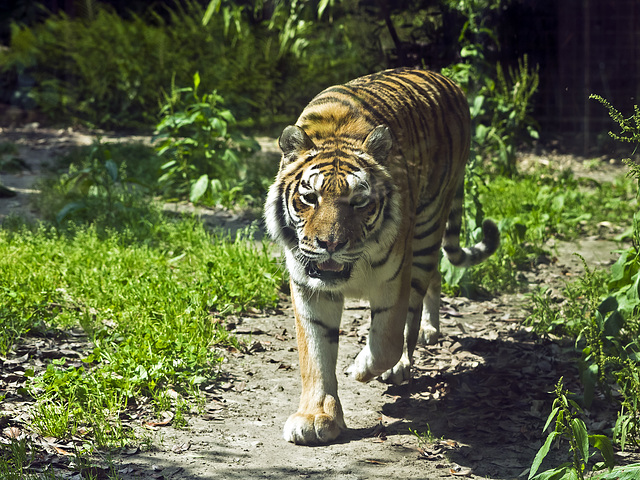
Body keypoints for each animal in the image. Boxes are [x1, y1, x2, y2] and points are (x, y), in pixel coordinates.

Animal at [262, 65, 498, 444]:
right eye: (310, 198)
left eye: (359, 202)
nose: (330, 244)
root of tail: (442, 76)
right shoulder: (309, 287)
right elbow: (315, 354)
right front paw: (315, 417)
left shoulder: (394, 278)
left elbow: (387, 340)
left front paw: (360, 368)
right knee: (435, 278)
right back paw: (431, 329)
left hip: (427, 229)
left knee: (415, 307)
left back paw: (405, 359)